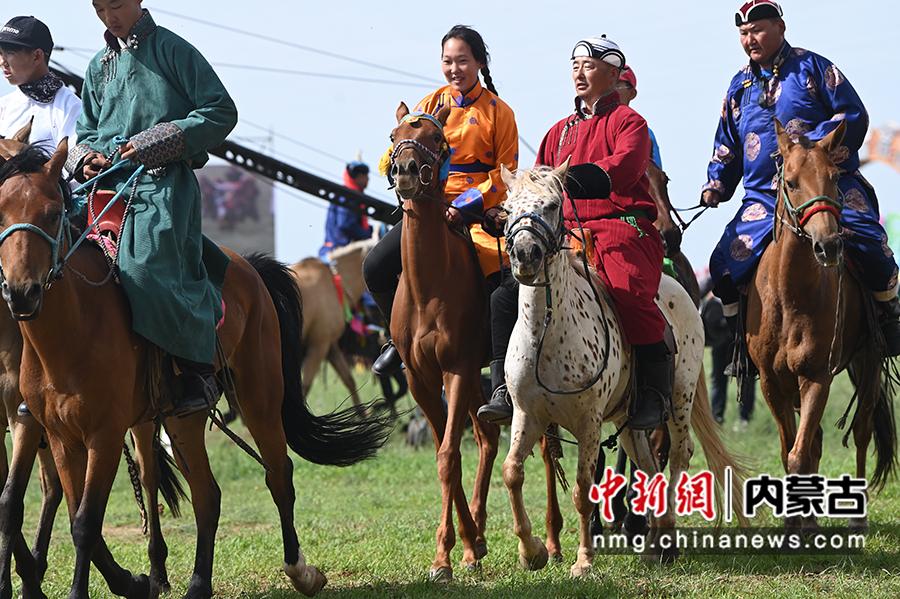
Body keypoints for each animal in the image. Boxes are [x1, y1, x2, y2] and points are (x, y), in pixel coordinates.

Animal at [500, 164, 744, 576]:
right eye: (507, 208)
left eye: (552, 205)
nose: (525, 254)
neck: (546, 329)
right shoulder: (527, 414)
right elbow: (512, 471)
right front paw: (532, 551)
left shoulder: (589, 422)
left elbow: (584, 488)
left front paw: (583, 561)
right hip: (629, 422)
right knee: (647, 463)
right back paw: (653, 541)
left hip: (678, 401)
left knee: (679, 455)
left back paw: (665, 538)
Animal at [748, 118, 896, 528]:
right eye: (791, 181)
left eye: (833, 177)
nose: (828, 245)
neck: (789, 297)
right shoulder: (771, 382)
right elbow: (791, 450)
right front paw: (795, 522)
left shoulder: (816, 376)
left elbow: (799, 454)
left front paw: (795, 526)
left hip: (868, 360)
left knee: (861, 430)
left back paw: (856, 520)